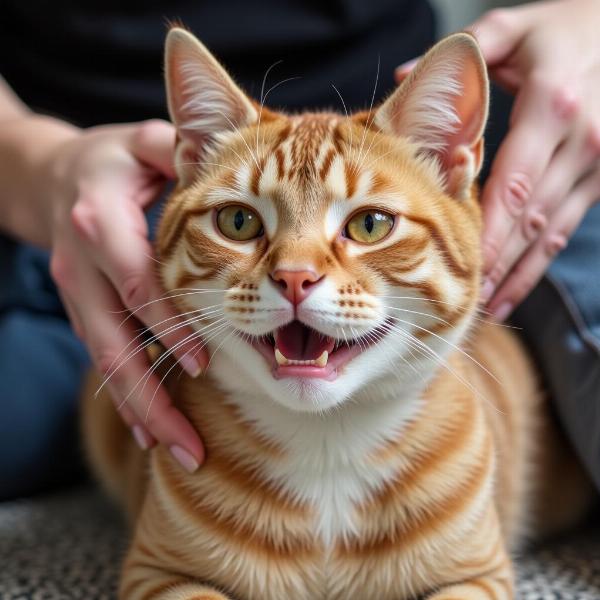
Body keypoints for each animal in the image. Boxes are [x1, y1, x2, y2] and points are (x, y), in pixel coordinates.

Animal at [82, 27, 592, 600]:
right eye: (238, 221)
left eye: (370, 225)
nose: (294, 277)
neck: (328, 446)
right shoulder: (157, 574)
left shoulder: (479, 576)